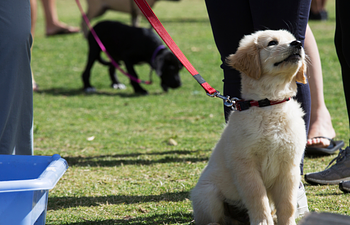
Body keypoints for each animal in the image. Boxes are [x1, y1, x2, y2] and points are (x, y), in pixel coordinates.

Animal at [190, 29, 308, 225]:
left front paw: (286, 222)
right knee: (213, 218)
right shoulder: (246, 164)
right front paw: (263, 221)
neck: (270, 104)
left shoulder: (289, 165)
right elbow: (257, 196)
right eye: (272, 43)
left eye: (292, 39)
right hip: (208, 195)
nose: (297, 44)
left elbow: (288, 203)